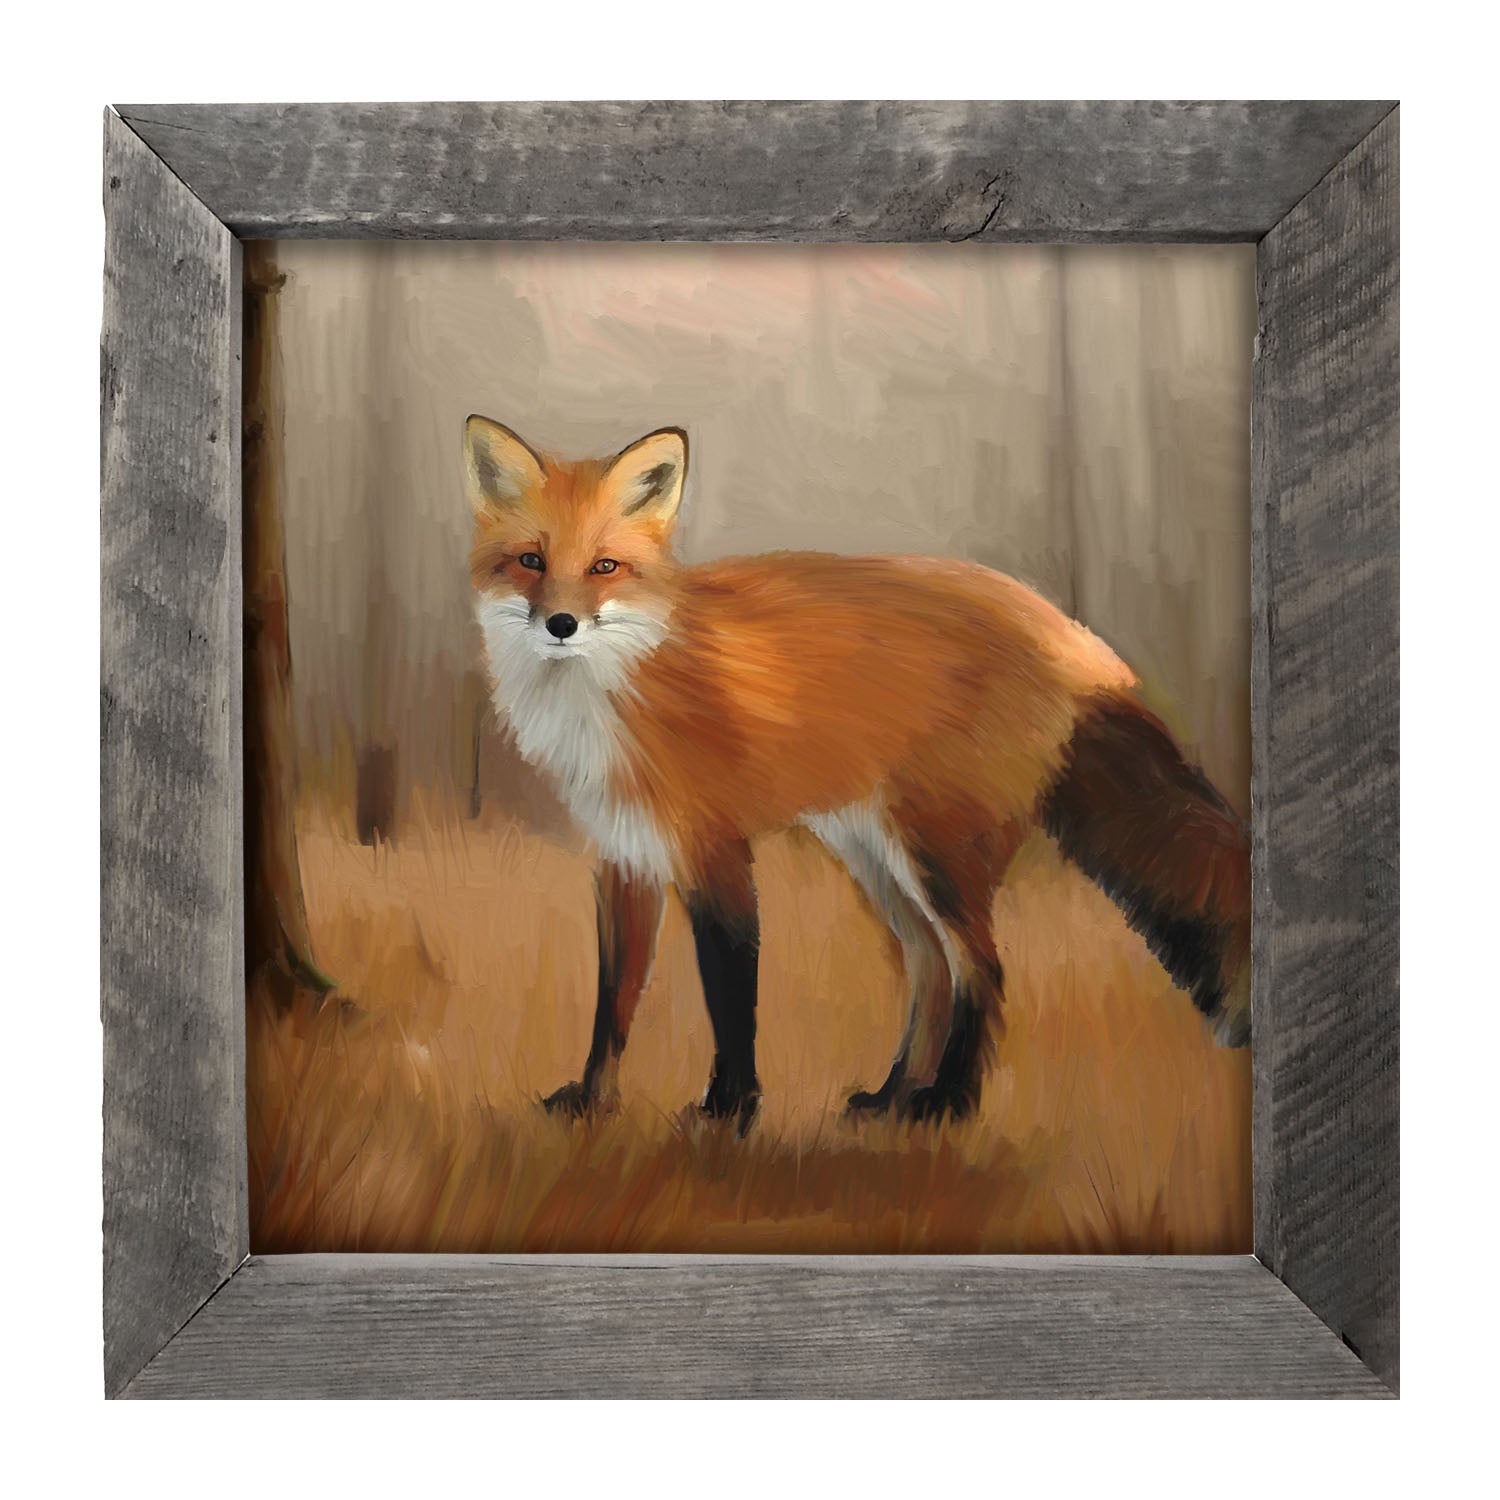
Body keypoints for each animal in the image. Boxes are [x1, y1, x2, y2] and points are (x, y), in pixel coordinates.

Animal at [464, 415, 1251, 1131]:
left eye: (604, 567)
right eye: (530, 561)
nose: (561, 625)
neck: (617, 687)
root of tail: (1075, 638)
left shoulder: (716, 852)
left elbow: (730, 994)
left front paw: (731, 1110)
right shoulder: (625, 857)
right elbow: (614, 1002)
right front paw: (591, 1102)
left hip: (937, 853)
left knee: (984, 971)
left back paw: (948, 1104)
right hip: (877, 856)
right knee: (931, 968)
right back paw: (892, 1096)